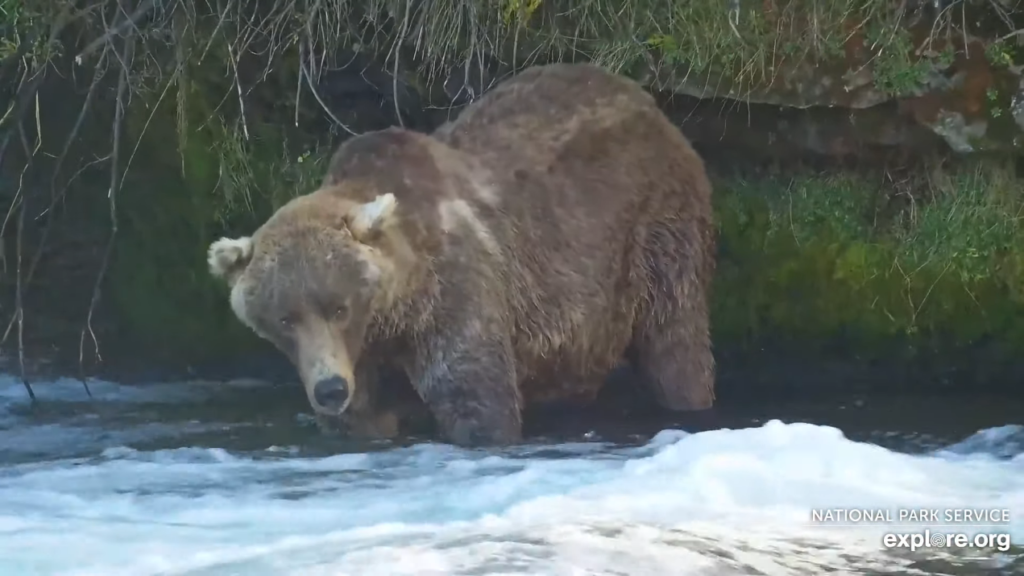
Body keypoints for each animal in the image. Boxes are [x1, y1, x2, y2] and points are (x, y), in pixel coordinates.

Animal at [206, 62, 716, 446]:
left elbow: (475, 398)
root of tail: (645, 98)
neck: (392, 314)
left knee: (675, 343)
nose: (330, 389)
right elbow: (363, 417)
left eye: (338, 307)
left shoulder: (454, 291)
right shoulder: (362, 357)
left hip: (654, 228)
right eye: (285, 318)